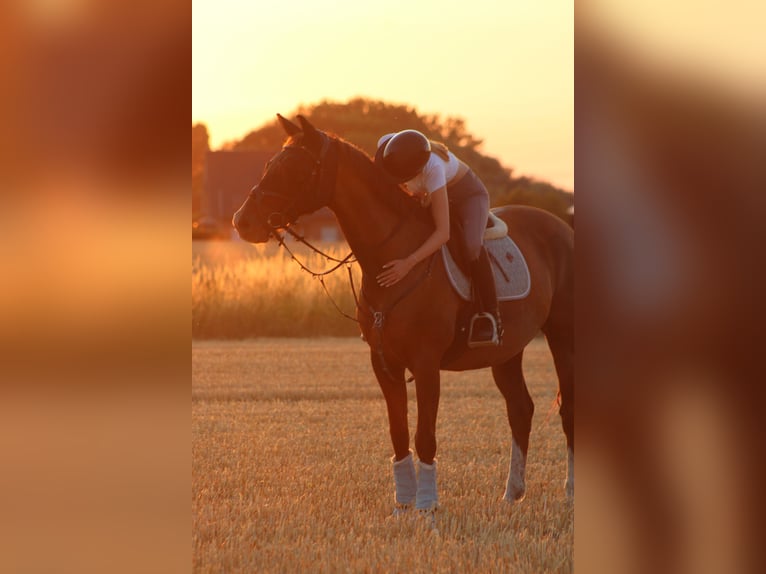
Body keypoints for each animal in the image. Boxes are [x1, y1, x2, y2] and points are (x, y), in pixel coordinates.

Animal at [233, 114, 574, 514]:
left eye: (294, 168)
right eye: (271, 164)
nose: (242, 222)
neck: (392, 256)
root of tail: (562, 227)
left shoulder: (425, 364)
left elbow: (424, 434)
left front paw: (426, 505)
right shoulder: (384, 363)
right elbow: (398, 433)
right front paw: (403, 503)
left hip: (563, 336)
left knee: (567, 409)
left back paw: (570, 490)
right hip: (507, 350)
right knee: (520, 409)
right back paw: (512, 493)